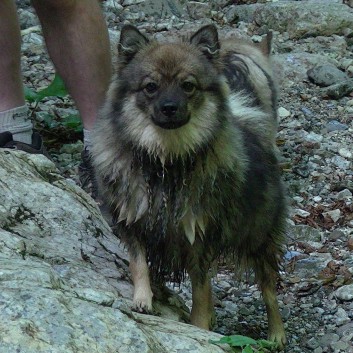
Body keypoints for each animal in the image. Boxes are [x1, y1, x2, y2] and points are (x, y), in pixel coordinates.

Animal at [91, 24, 286, 346]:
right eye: (150, 86)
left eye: (188, 85)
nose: (170, 107)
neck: (167, 160)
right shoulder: (134, 223)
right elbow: (139, 264)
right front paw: (143, 299)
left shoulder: (199, 236)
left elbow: (200, 289)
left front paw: (199, 324)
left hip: (259, 237)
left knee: (269, 288)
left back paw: (276, 333)